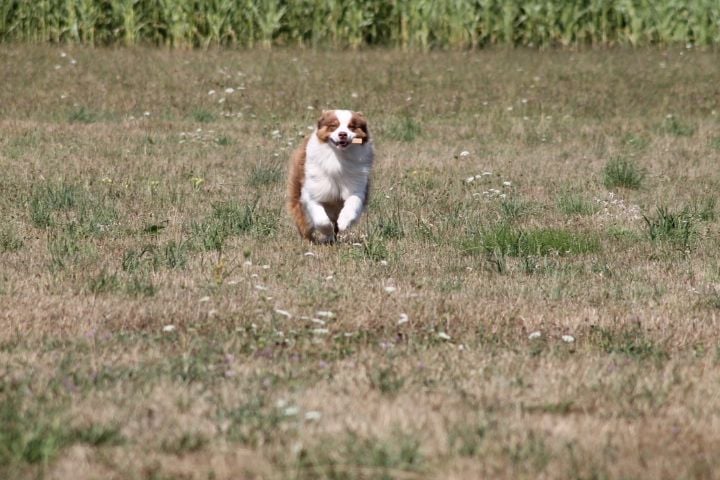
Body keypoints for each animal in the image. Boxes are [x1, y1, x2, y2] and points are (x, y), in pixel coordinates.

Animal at [288, 110, 376, 242]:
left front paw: (344, 222)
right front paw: (327, 230)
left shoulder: (357, 187)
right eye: (334, 126)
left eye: (352, 126)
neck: (338, 157)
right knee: (304, 222)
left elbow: (352, 203)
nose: (343, 134)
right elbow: (321, 219)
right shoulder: (312, 191)